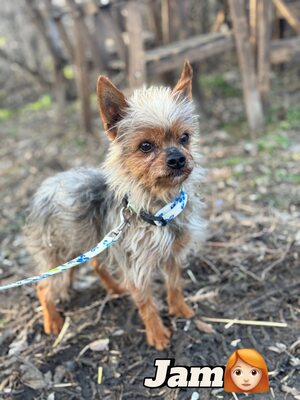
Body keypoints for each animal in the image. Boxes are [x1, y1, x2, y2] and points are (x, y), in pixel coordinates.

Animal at [24, 61, 206, 350]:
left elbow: (174, 284)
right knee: (43, 287)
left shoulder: (172, 255)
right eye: (145, 146)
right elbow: (146, 302)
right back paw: (52, 320)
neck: (159, 208)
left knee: (96, 265)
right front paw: (157, 334)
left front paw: (181, 309)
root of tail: (44, 188)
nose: (178, 159)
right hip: (57, 255)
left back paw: (116, 288)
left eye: (185, 138)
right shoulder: (137, 267)